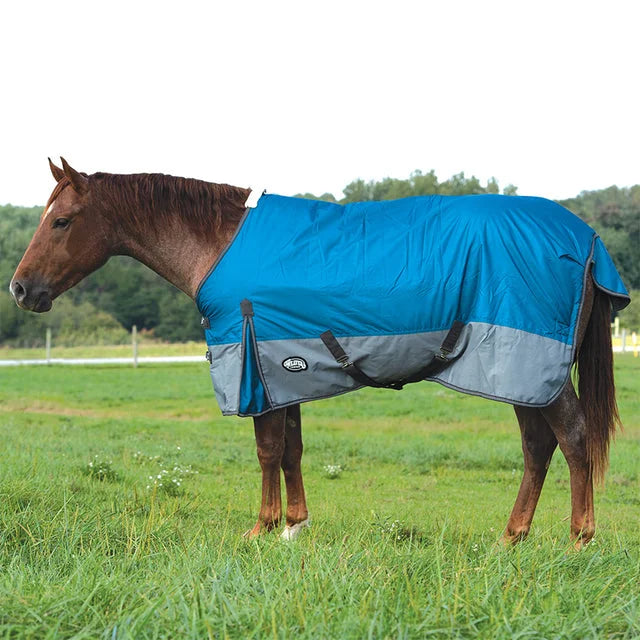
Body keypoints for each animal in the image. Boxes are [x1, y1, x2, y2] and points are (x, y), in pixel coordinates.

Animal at [11, 158, 628, 547]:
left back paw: (578, 539)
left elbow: (266, 450)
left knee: (573, 439)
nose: (20, 289)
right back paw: (511, 538)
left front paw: (261, 529)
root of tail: (587, 241)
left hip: (534, 367)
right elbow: (291, 449)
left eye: (61, 220)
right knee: (538, 447)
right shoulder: (283, 368)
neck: (221, 243)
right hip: (518, 374)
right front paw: (294, 526)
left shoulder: (254, 366)